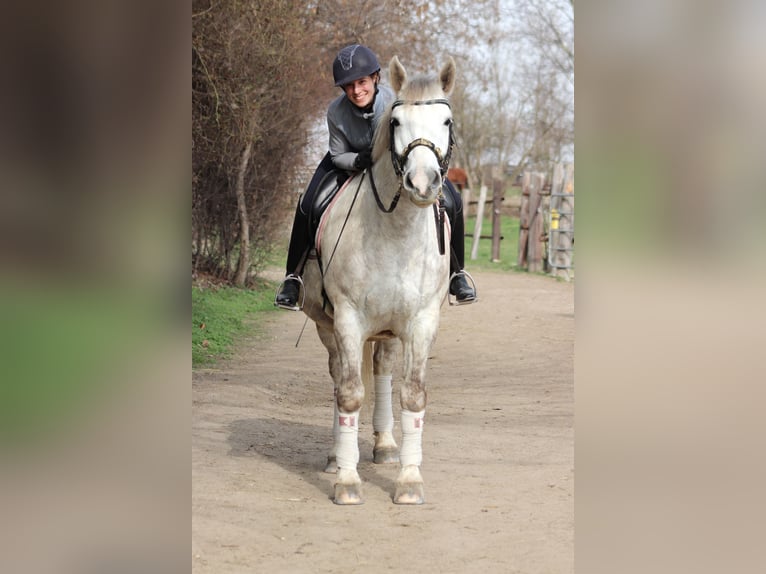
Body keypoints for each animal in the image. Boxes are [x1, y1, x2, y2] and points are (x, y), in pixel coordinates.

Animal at [300, 54, 456, 504]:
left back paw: (386, 445)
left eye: (446, 121)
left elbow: (413, 395)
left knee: (383, 370)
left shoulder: (422, 323)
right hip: (328, 326)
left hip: (388, 331)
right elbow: (350, 393)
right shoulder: (348, 320)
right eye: (397, 121)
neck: (396, 232)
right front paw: (347, 481)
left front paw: (409, 481)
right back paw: (336, 456)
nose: (422, 183)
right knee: (339, 378)